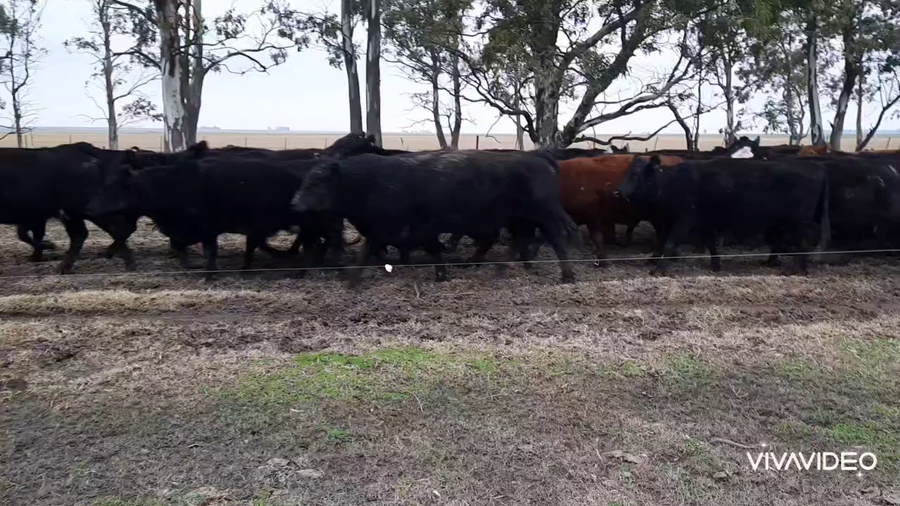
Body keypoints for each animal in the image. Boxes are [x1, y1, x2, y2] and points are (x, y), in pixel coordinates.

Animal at [290, 150, 578, 287]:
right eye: (305, 179)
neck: (369, 182)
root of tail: (537, 156)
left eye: (316, 181)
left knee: (556, 238)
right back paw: (497, 269)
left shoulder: (402, 226)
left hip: (543, 215)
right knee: (519, 240)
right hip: (518, 218)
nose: (294, 203)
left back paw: (567, 276)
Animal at [615, 156, 830, 276]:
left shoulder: (683, 221)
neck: (672, 181)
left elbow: (669, 244)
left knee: (802, 243)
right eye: (626, 172)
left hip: (799, 222)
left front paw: (658, 270)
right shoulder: (703, 222)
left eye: (636, 175)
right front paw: (716, 265)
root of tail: (818, 168)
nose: (618, 192)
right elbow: (711, 244)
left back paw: (795, 270)